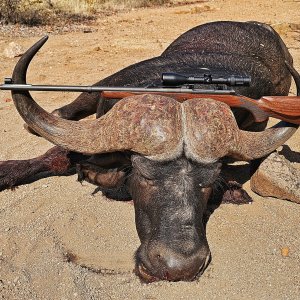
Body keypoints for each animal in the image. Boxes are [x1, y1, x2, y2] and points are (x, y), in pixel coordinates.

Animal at [0, 21, 298, 282]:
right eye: (145, 175)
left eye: (211, 182)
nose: (180, 267)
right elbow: (60, 156)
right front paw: (7, 171)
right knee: (74, 104)